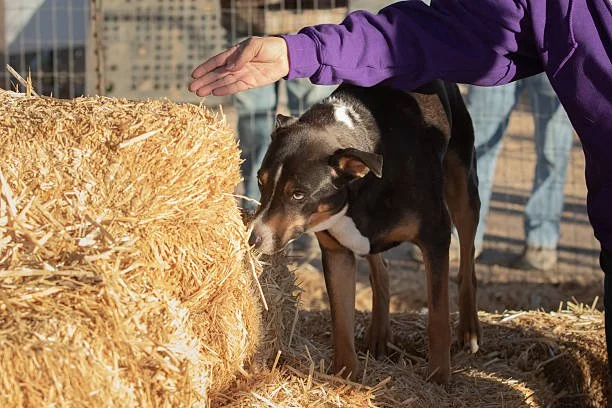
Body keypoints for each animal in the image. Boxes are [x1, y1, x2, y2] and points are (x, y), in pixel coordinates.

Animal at [248, 80, 481, 384]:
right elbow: (341, 321)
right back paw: (379, 335)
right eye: (260, 181)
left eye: (298, 194)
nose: (253, 238)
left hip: (463, 187)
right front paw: (345, 376)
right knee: (380, 271)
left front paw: (439, 377)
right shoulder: (337, 251)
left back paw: (469, 330)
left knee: (466, 260)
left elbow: (438, 316)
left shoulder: (435, 235)